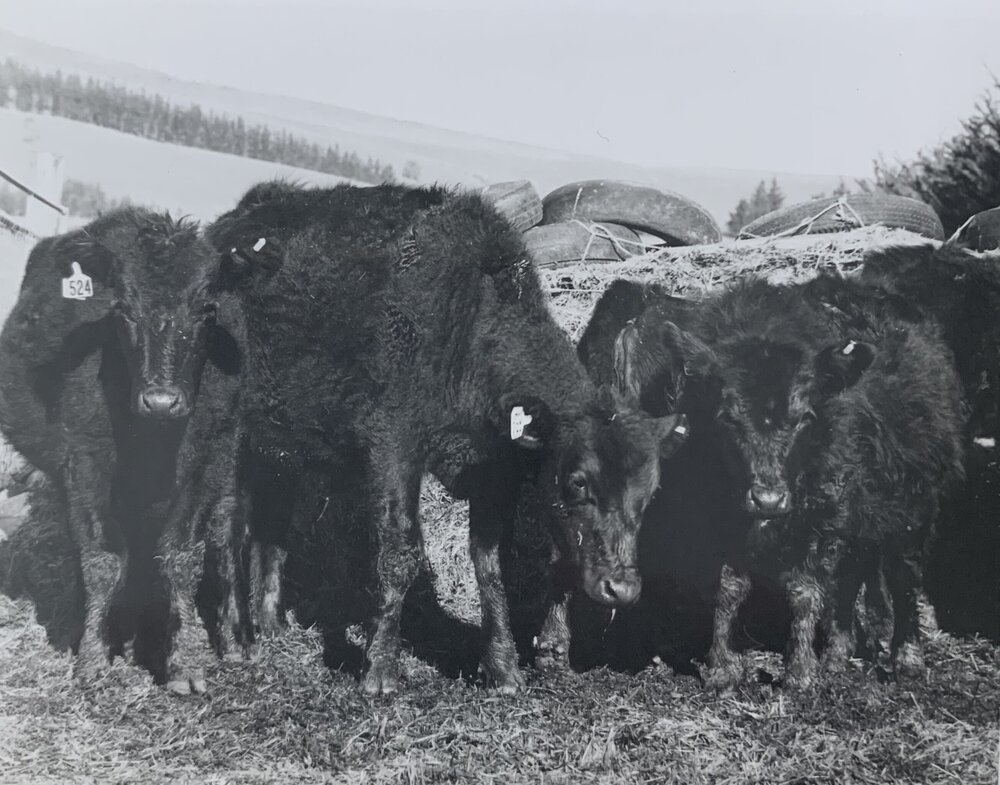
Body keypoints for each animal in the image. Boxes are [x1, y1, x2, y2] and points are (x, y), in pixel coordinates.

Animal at [0, 209, 245, 694]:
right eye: (124, 311)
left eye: (206, 309)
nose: (162, 401)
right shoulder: (83, 460)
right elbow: (101, 557)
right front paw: (94, 658)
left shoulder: (206, 463)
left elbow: (183, 557)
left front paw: (186, 661)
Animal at [206, 180, 688, 695]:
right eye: (578, 481)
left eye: (649, 494)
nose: (622, 588)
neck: (467, 327)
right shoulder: (393, 447)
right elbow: (398, 553)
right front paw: (380, 670)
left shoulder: (494, 472)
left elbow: (491, 564)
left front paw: (503, 669)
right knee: (227, 522)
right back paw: (236, 637)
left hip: (283, 446)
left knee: (271, 522)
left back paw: (270, 622)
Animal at [610, 276, 965, 690]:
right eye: (727, 417)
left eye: (803, 418)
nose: (768, 499)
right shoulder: (722, 518)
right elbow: (728, 589)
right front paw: (722, 668)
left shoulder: (823, 513)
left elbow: (805, 591)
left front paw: (799, 673)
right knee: (850, 577)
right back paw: (837, 654)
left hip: (914, 507)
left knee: (902, 577)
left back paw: (906, 658)